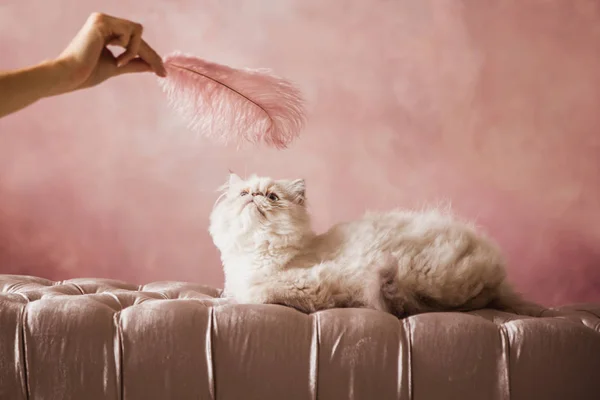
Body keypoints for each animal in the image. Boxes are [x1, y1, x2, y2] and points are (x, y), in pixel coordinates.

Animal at [209, 173, 528, 318]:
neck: (255, 251)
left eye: (272, 197)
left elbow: (256, 292)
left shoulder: (309, 283)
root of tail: (496, 276)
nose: (254, 196)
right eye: (244, 193)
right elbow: (227, 295)